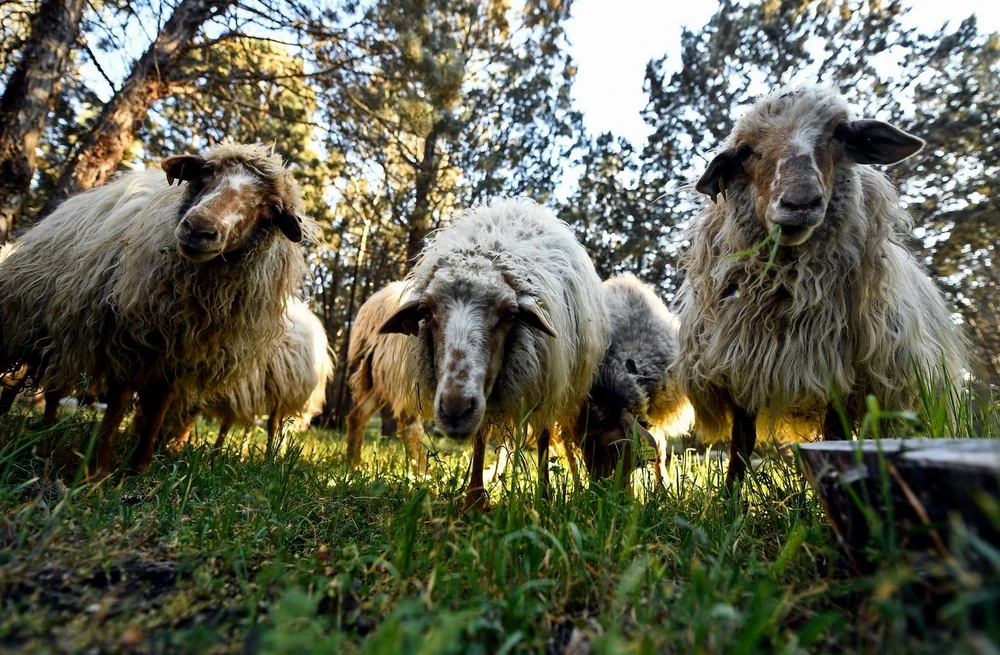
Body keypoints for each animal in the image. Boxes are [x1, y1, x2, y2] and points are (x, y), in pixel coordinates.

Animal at [0, 144, 310, 474]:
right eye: (207, 171)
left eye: (272, 207)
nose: (199, 229)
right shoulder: (127, 339)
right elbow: (118, 405)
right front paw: (98, 473)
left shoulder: (180, 357)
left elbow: (158, 409)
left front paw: (140, 467)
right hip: (41, 321)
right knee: (40, 385)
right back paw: (34, 439)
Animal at [346, 280, 428, 474]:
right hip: (407, 378)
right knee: (410, 427)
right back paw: (423, 474)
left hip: (383, 379)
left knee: (358, 415)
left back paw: (354, 465)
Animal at [378, 200, 608, 508]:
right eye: (425, 311)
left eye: (510, 313)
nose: (455, 410)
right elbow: (480, 437)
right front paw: (474, 499)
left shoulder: (544, 379)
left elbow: (544, 439)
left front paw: (544, 494)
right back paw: (498, 474)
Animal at [672, 86, 968, 486]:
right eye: (745, 151)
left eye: (840, 133)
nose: (800, 202)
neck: (786, 289)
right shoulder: (745, 365)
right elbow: (740, 445)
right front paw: (730, 497)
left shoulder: (843, 375)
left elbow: (836, 436)